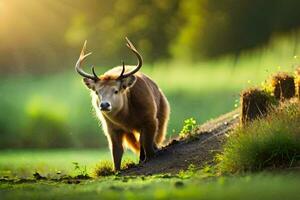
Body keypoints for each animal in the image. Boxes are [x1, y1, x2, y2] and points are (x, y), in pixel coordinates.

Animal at [74, 37, 170, 170]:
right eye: (97, 92)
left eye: (116, 90)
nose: (104, 105)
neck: (127, 117)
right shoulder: (111, 128)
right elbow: (116, 152)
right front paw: (117, 170)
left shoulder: (150, 120)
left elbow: (148, 145)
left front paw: (149, 158)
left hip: (163, 114)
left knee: (149, 140)